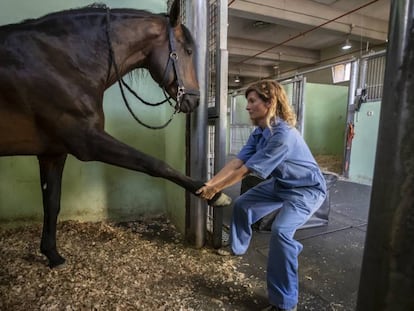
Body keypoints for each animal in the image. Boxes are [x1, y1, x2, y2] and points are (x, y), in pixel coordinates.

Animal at [0, 0, 230, 268]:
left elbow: (52, 203)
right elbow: (155, 164)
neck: (61, 62)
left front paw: (52, 254)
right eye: (189, 51)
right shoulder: (88, 142)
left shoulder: (53, 153)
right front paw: (214, 194)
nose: (194, 100)